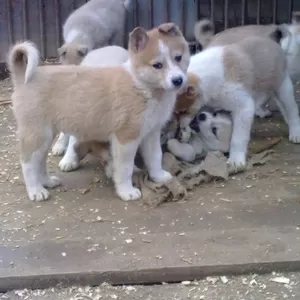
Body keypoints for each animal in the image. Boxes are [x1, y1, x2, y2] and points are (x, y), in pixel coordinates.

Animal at [8, 22, 191, 202]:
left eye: (178, 57)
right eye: (157, 65)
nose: (178, 80)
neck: (143, 86)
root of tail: (23, 78)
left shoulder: (151, 133)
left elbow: (155, 157)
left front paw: (159, 176)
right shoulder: (126, 138)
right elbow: (125, 168)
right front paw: (126, 191)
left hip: (45, 136)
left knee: (39, 161)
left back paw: (46, 181)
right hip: (37, 134)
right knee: (27, 163)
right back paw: (36, 190)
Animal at [188, 32, 300, 173]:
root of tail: (271, 39)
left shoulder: (243, 106)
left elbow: (238, 137)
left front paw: (236, 160)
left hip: (283, 86)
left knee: (291, 108)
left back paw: (295, 131)